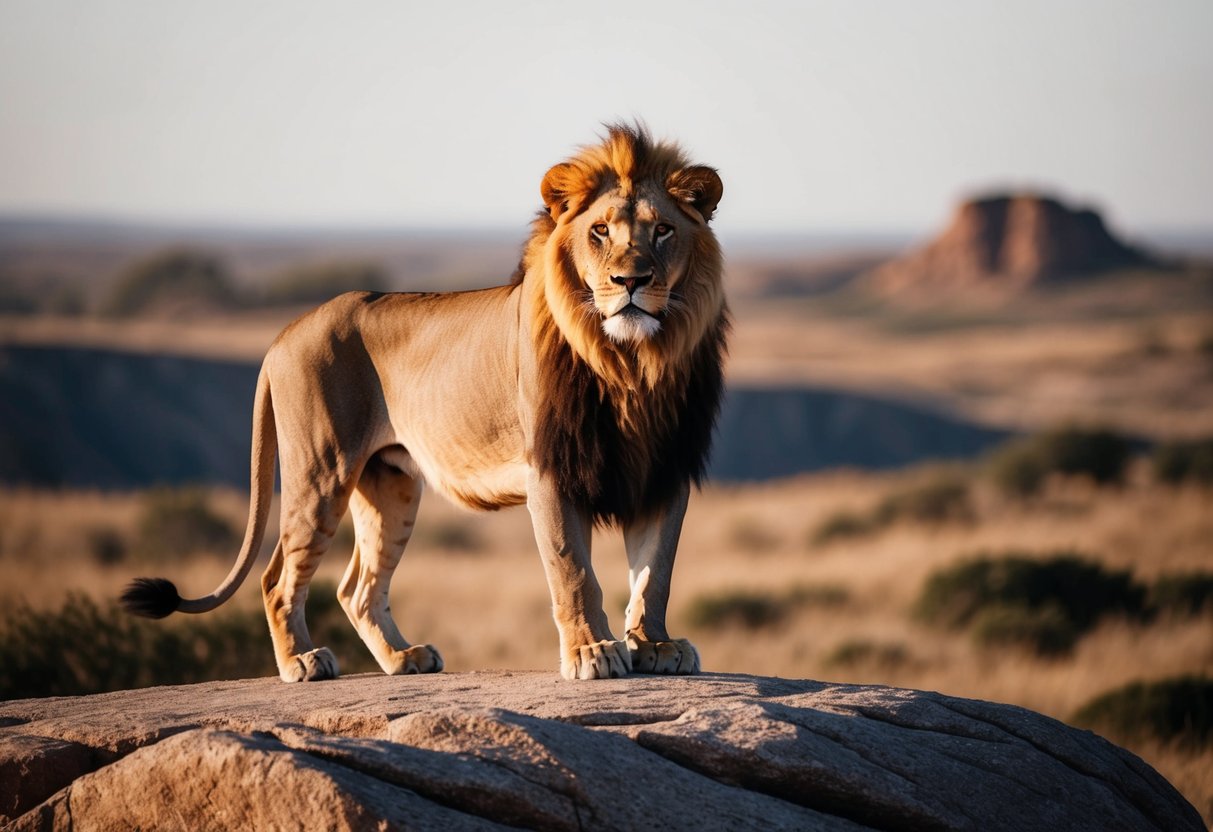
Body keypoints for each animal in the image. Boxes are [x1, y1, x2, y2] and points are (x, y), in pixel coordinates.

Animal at [120, 125, 727, 684]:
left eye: (663, 230)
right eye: (600, 231)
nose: (631, 281)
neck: (632, 365)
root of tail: (286, 333)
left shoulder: (663, 469)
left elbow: (655, 573)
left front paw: (656, 645)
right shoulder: (551, 469)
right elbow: (572, 567)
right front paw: (592, 653)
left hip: (390, 484)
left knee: (357, 588)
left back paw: (403, 658)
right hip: (320, 475)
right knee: (277, 579)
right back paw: (301, 662)